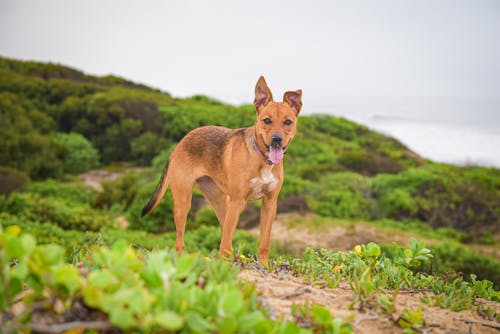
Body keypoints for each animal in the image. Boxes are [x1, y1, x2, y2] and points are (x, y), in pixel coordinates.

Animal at [143, 77, 302, 264]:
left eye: (288, 122)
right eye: (267, 120)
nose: (277, 139)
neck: (262, 159)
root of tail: (179, 144)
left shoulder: (270, 203)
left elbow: (264, 240)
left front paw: (263, 264)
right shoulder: (237, 201)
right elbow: (227, 237)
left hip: (220, 201)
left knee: (224, 232)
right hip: (184, 203)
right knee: (181, 241)